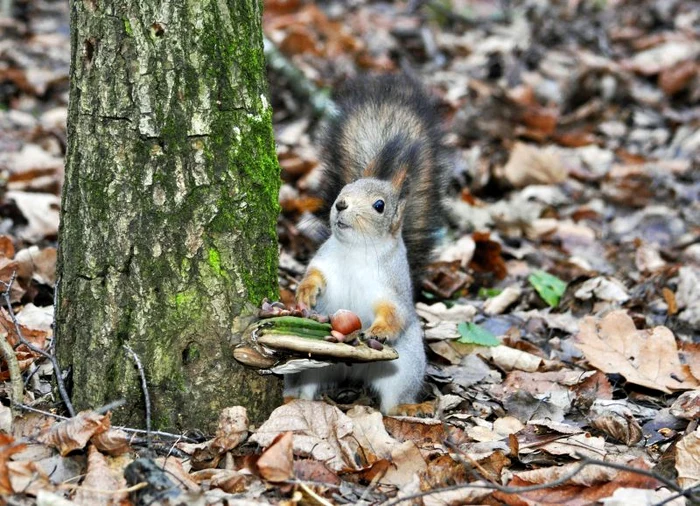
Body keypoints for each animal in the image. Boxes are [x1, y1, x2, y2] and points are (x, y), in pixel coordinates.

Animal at [284, 76, 448, 416]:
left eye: (379, 205)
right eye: (346, 188)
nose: (341, 204)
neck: (356, 251)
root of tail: (352, 371)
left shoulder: (390, 284)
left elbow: (394, 311)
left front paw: (380, 330)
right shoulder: (326, 258)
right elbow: (314, 273)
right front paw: (305, 291)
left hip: (404, 367)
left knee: (392, 404)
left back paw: (409, 408)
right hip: (309, 368)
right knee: (306, 387)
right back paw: (294, 400)